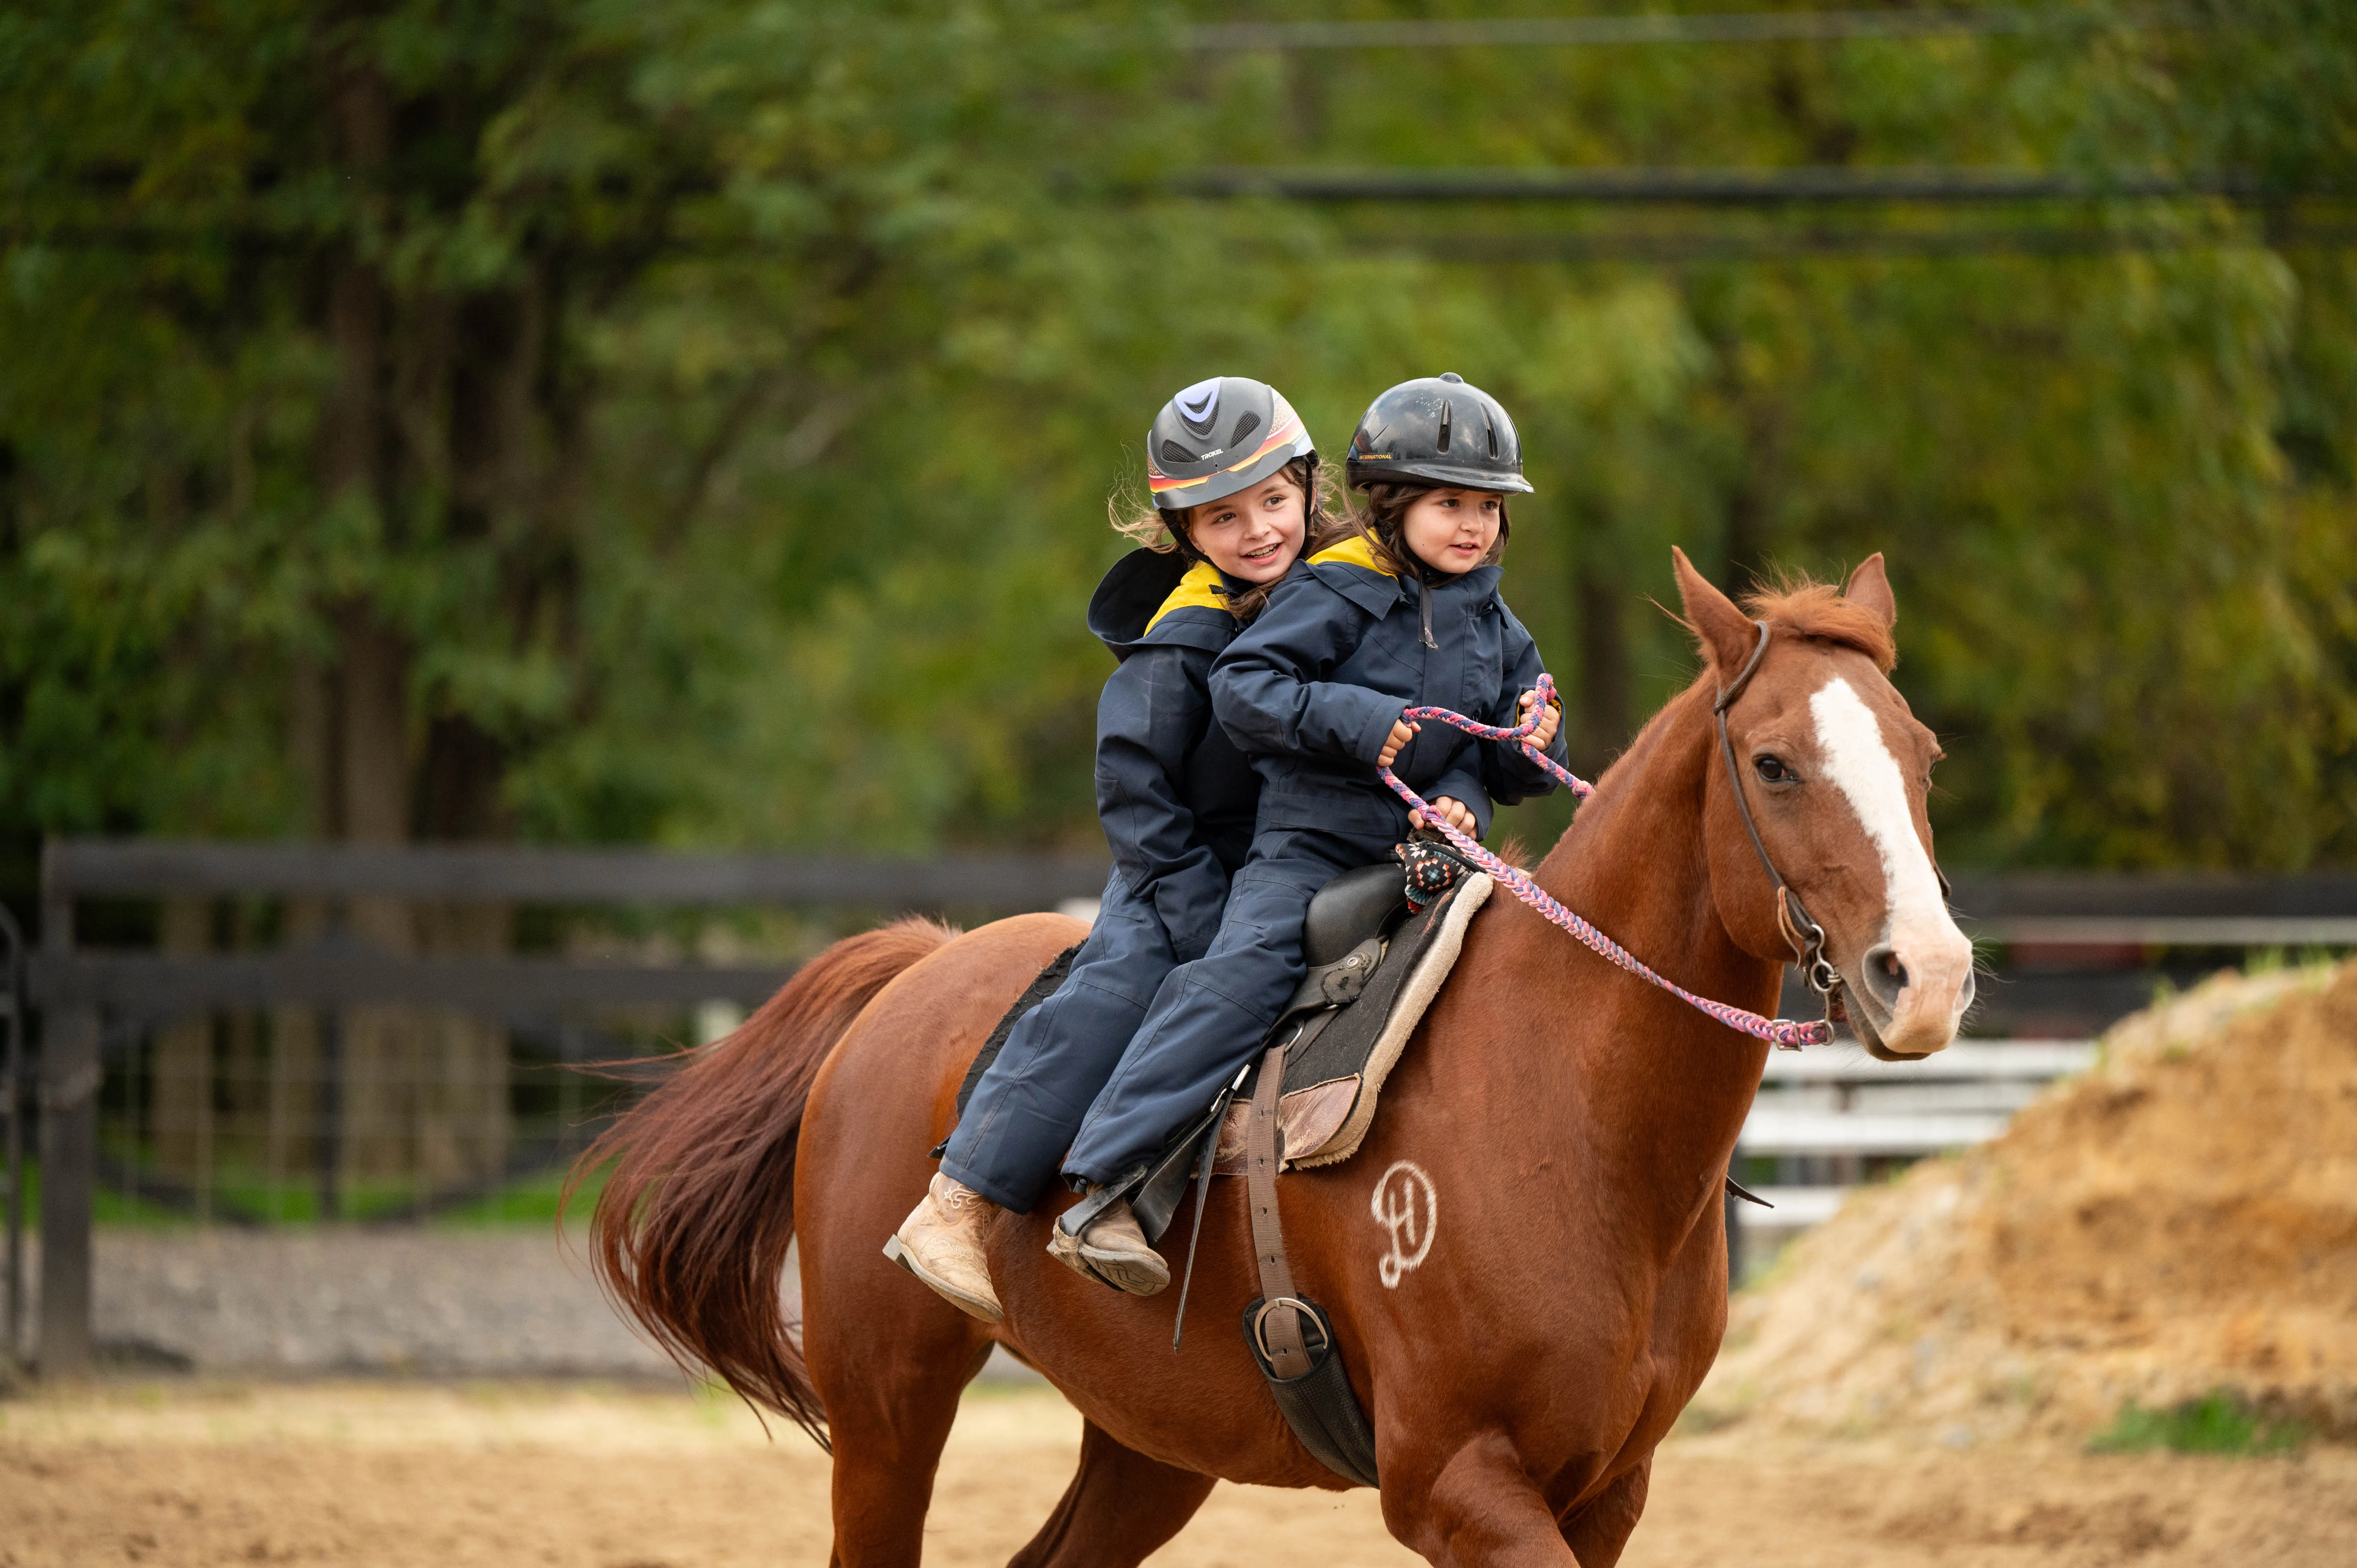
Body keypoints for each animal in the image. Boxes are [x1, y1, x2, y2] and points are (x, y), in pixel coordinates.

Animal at [570, 544, 1970, 1556]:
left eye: (1922, 754)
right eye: (1773, 763)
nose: (1929, 975)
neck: (1565, 1109)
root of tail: (917, 967)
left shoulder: (1606, 1492)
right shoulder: (1458, 1482)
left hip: (1148, 1444)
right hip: (885, 1414)